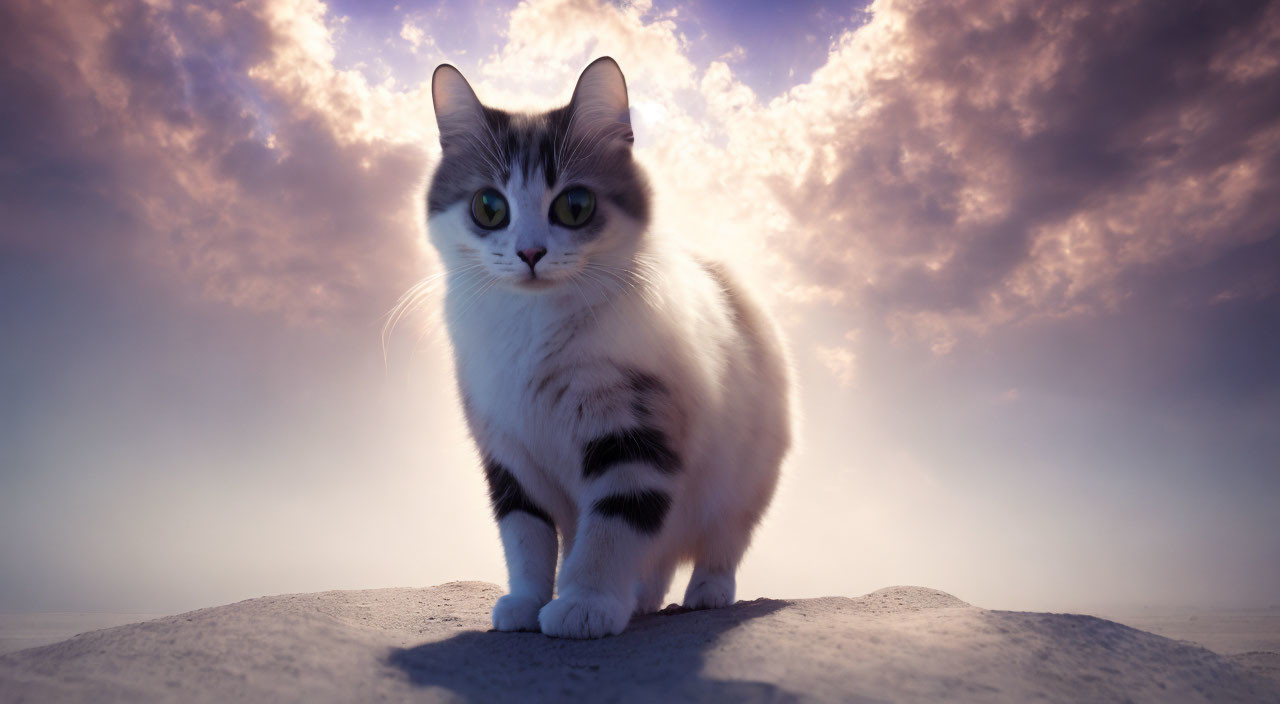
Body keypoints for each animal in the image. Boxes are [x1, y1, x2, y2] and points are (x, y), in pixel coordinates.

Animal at [427, 55, 788, 640]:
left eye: (575, 206)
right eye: (488, 207)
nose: (530, 252)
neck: (535, 329)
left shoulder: (635, 435)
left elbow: (610, 532)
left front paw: (585, 604)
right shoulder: (508, 452)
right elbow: (526, 537)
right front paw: (527, 603)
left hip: (743, 481)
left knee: (719, 544)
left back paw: (706, 593)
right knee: (656, 558)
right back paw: (640, 600)